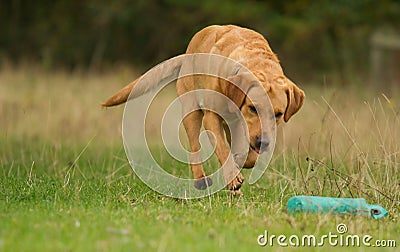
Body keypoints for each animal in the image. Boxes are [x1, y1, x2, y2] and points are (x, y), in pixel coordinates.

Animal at [102, 24, 304, 192]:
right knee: (194, 148)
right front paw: (233, 177)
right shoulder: (211, 117)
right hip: (191, 111)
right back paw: (201, 179)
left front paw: (242, 162)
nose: (263, 142)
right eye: (252, 108)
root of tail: (187, 53)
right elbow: (222, 149)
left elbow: (245, 154)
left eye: (278, 114)